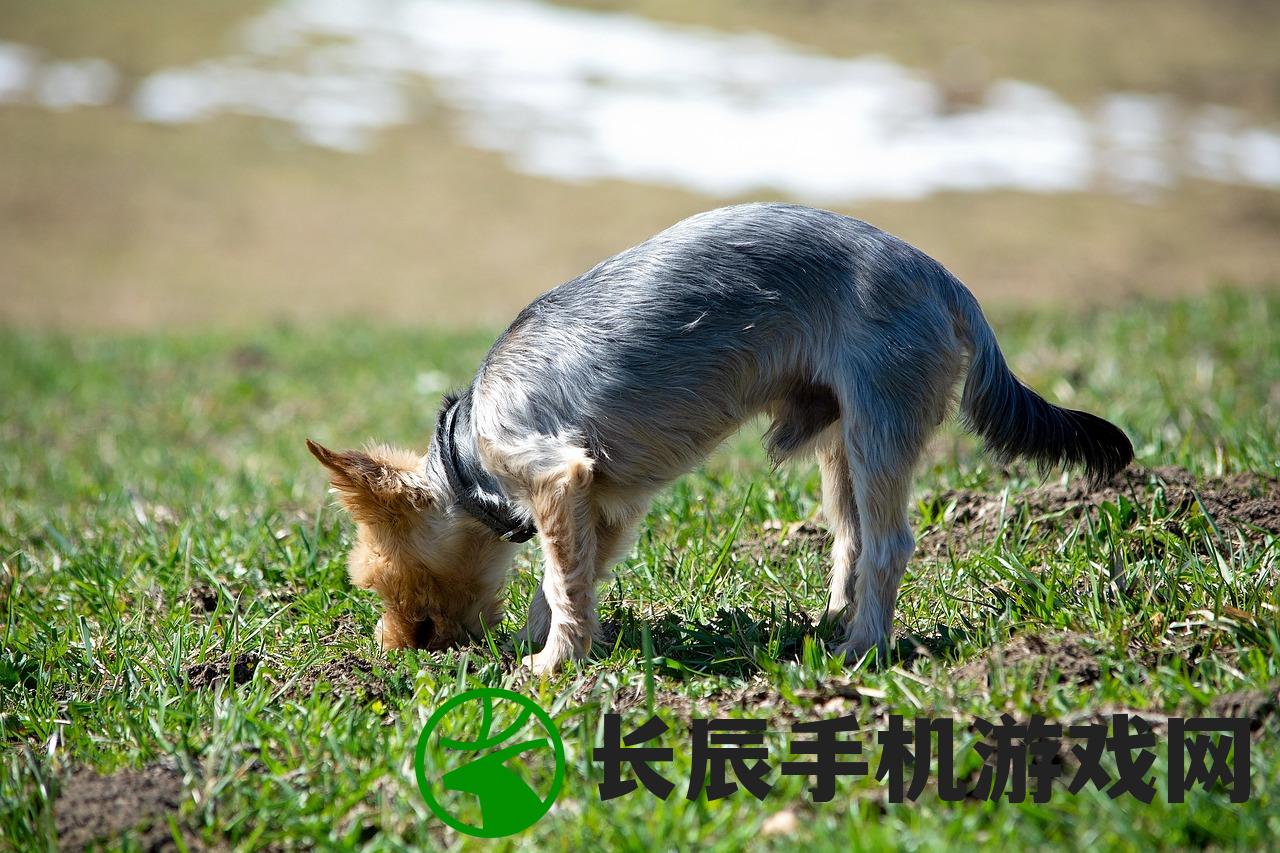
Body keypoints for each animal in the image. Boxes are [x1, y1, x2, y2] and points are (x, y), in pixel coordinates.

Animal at [307, 201, 1131, 671]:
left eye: (383, 583)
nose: (395, 649)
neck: (467, 453)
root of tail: (944, 280)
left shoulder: (553, 475)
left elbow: (562, 580)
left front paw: (549, 665)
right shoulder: (602, 504)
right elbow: (564, 577)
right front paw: (547, 641)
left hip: (881, 416)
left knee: (891, 543)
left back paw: (862, 648)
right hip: (839, 436)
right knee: (851, 536)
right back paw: (831, 622)